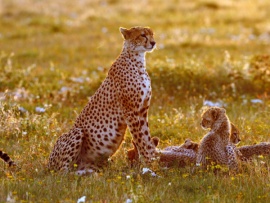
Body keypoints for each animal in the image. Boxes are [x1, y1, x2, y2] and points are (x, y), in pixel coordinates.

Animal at [48, 26, 157, 173]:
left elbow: (146, 137)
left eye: (152, 34)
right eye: (143, 35)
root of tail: (47, 164)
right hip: (77, 132)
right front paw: (149, 164)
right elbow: (140, 139)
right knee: (61, 173)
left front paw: (154, 161)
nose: (153, 43)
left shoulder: (142, 111)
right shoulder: (131, 112)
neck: (137, 61)